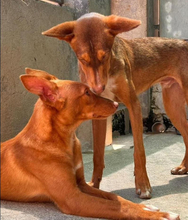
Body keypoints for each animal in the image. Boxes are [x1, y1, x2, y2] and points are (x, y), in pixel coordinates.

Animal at [0, 68, 180, 219]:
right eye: (86, 93)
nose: (116, 104)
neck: (64, 140)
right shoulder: (72, 197)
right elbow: (116, 207)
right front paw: (161, 215)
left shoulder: (82, 184)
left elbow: (115, 197)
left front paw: (146, 208)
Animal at [42, 13, 188, 199]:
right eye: (82, 59)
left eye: (104, 56)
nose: (98, 89)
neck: (110, 69)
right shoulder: (99, 114)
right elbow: (97, 155)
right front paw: (94, 185)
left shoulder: (134, 105)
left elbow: (139, 152)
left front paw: (143, 185)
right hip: (172, 106)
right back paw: (183, 167)